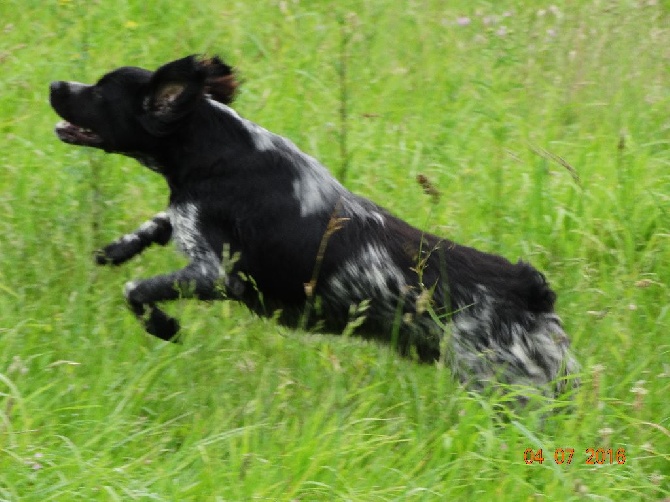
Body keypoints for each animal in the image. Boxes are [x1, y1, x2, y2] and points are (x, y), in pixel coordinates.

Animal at [50, 55, 580, 398]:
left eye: (99, 90)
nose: (54, 84)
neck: (215, 146)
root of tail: (530, 288)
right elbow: (158, 224)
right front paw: (118, 248)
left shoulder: (215, 274)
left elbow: (138, 291)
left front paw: (164, 326)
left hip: (506, 386)